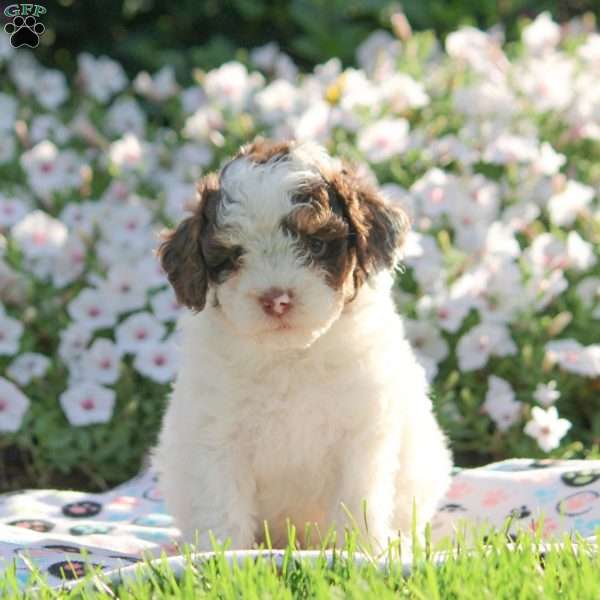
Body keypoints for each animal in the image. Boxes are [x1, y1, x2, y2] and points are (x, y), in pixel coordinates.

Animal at [152, 139, 452, 548]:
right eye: (232, 255)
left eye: (316, 244)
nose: (276, 299)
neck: (292, 355)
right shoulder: (217, 435)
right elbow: (221, 503)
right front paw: (221, 555)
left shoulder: (361, 434)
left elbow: (357, 501)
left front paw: (362, 550)